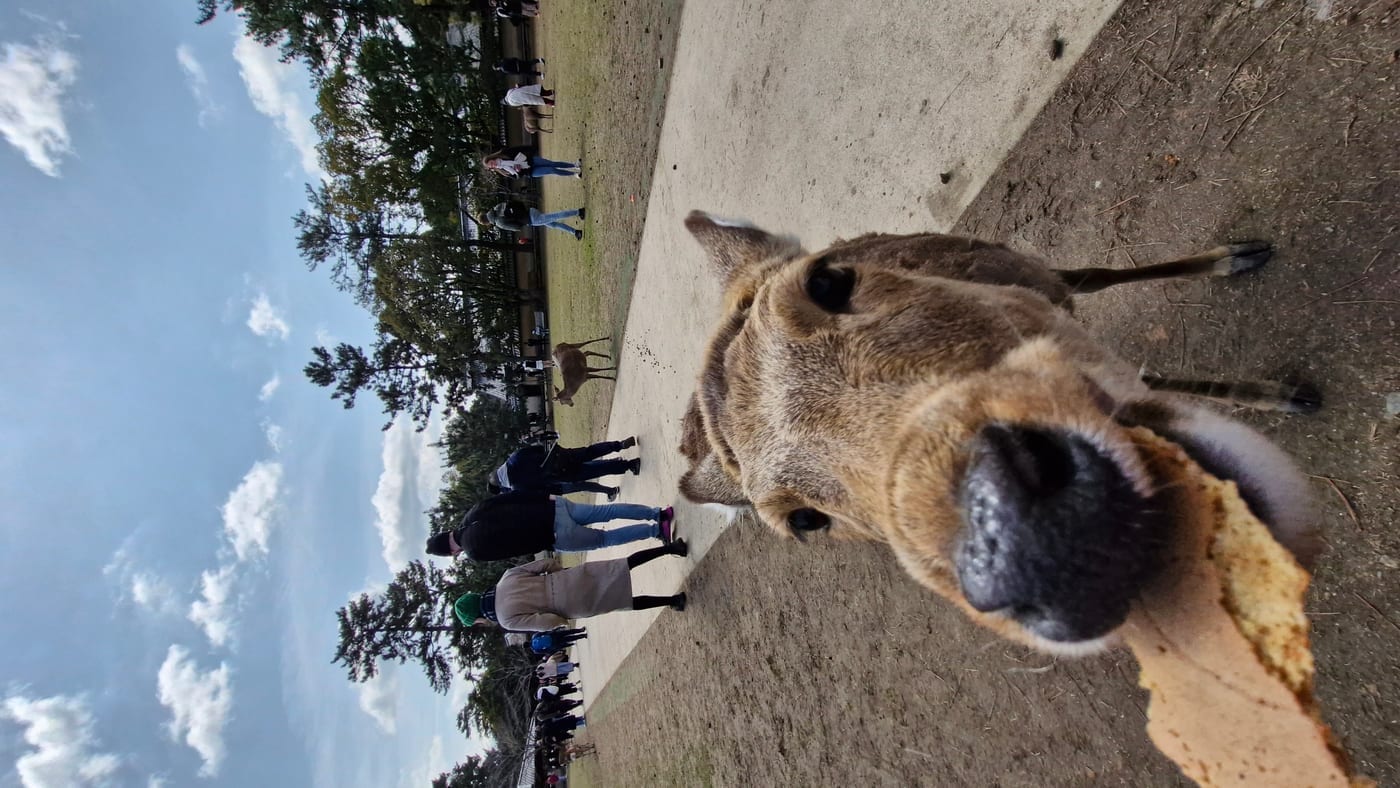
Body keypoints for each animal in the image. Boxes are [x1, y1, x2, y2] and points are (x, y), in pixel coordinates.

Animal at [677, 211, 1321, 656]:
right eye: (805, 521)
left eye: (826, 281)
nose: (1042, 547)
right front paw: (1279, 391)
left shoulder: (1036, 281)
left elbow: (1095, 284)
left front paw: (1275, 379)